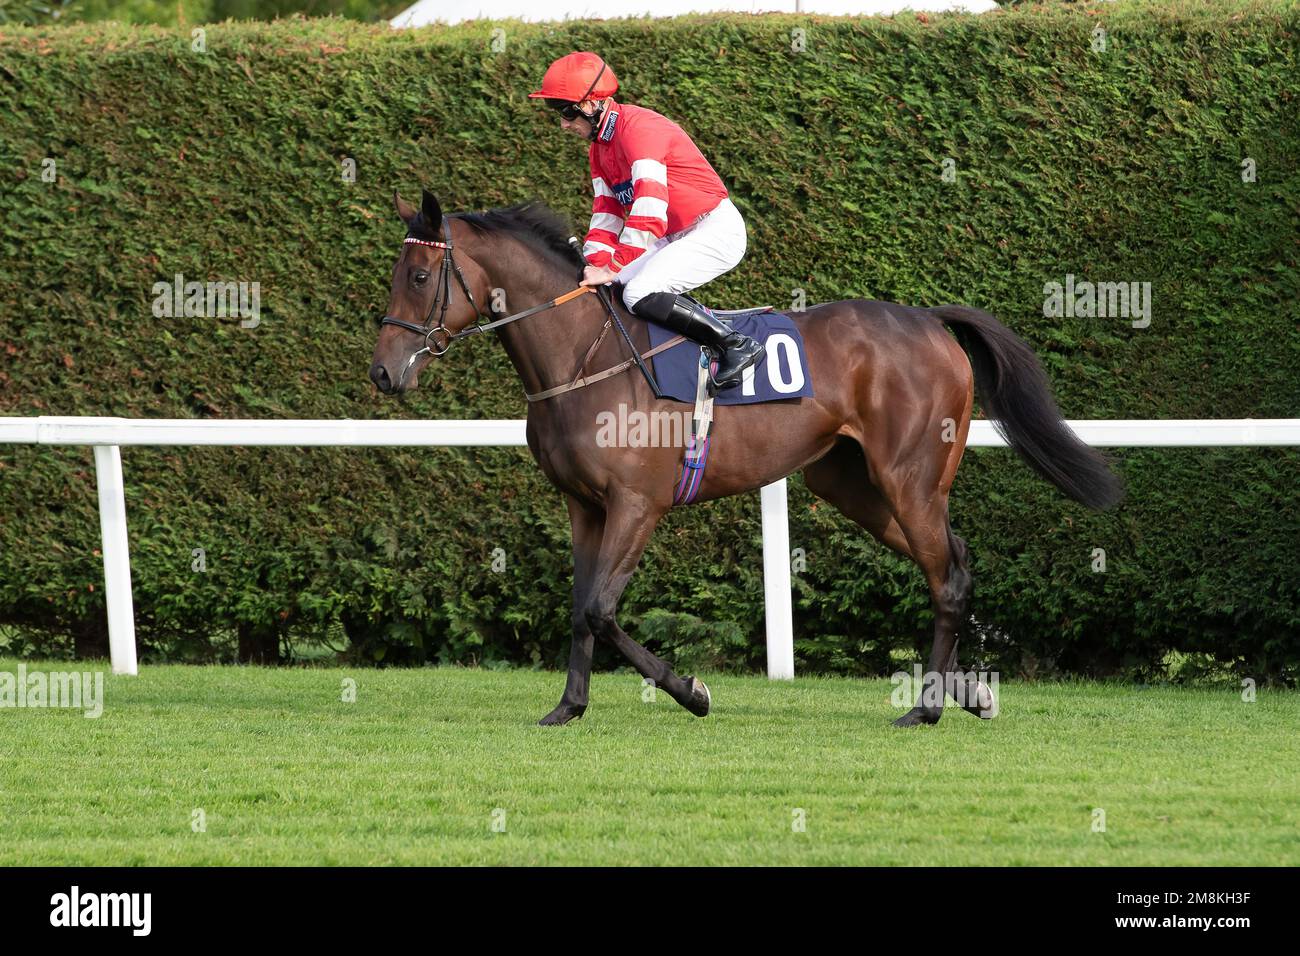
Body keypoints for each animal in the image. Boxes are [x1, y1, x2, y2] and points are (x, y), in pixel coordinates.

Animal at [371, 191, 1123, 728]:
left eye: (419, 275)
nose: (384, 372)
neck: (584, 356)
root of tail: (932, 321)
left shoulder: (638, 505)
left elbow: (602, 610)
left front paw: (692, 690)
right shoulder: (583, 506)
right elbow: (581, 606)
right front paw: (568, 707)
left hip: (907, 479)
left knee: (947, 581)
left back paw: (927, 706)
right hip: (853, 484)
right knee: (955, 561)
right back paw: (968, 693)